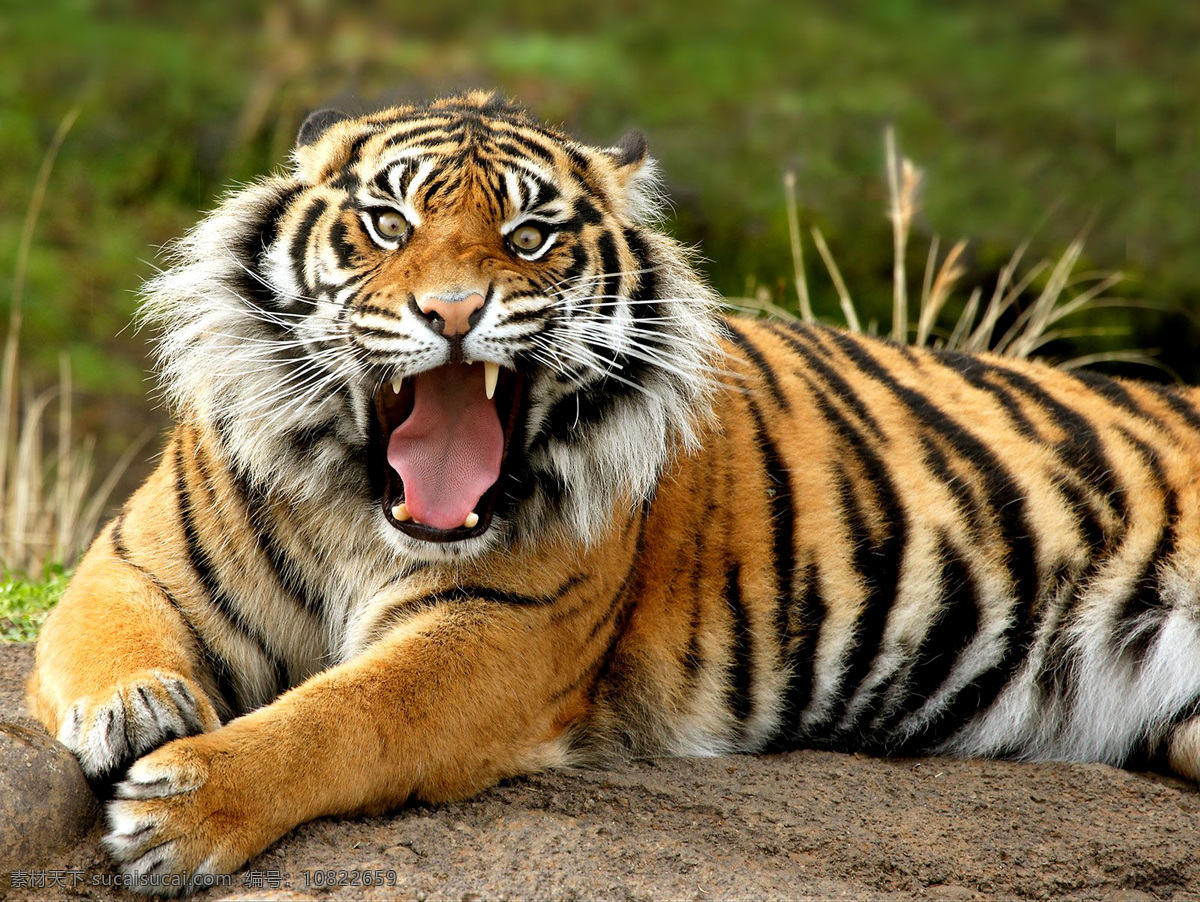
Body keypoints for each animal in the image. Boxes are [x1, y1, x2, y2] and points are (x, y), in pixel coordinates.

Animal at [23, 91, 1200, 897]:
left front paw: (185, 809)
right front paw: (138, 709)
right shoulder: (131, 558)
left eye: (529, 236)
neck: (361, 505)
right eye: (390, 225)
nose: (455, 312)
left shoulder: (496, 634)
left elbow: (344, 714)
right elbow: (105, 638)